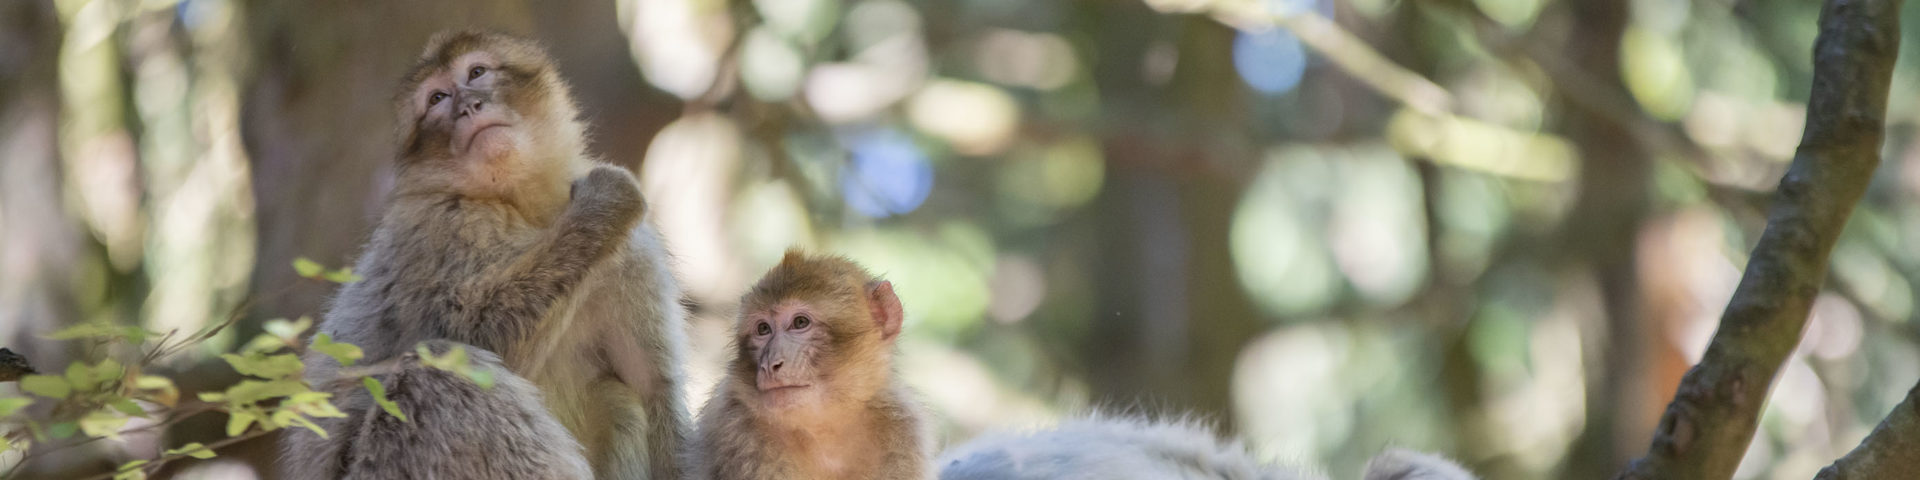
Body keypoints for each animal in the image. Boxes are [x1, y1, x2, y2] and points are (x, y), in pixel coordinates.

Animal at [686, 250, 933, 480]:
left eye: (800, 322)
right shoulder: (739, 433)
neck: (823, 428)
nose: (770, 364)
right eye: (763, 329)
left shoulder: (902, 430)